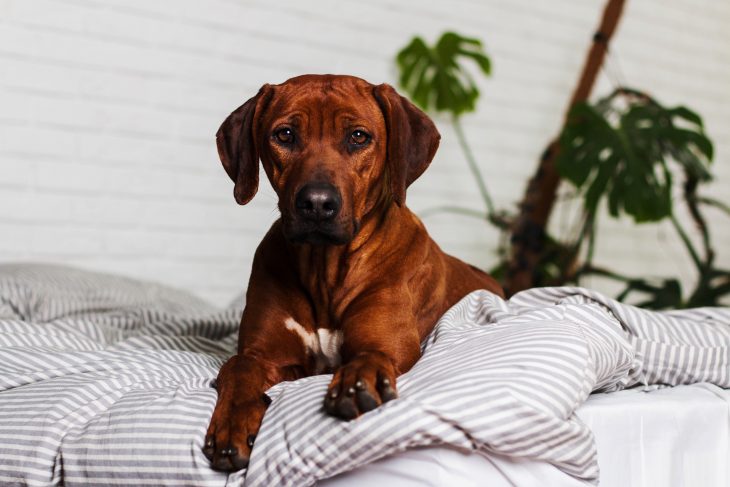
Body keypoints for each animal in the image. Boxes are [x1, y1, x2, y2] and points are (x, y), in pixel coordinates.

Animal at [202, 74, 504, 470]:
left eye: (358, 136)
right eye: (285, 135)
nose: (316, 204)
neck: (325, 268)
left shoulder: (389, 345)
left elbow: (373, 354)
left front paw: (360, 380)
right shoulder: (268, 356)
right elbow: (239, 366)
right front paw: (233, 422)